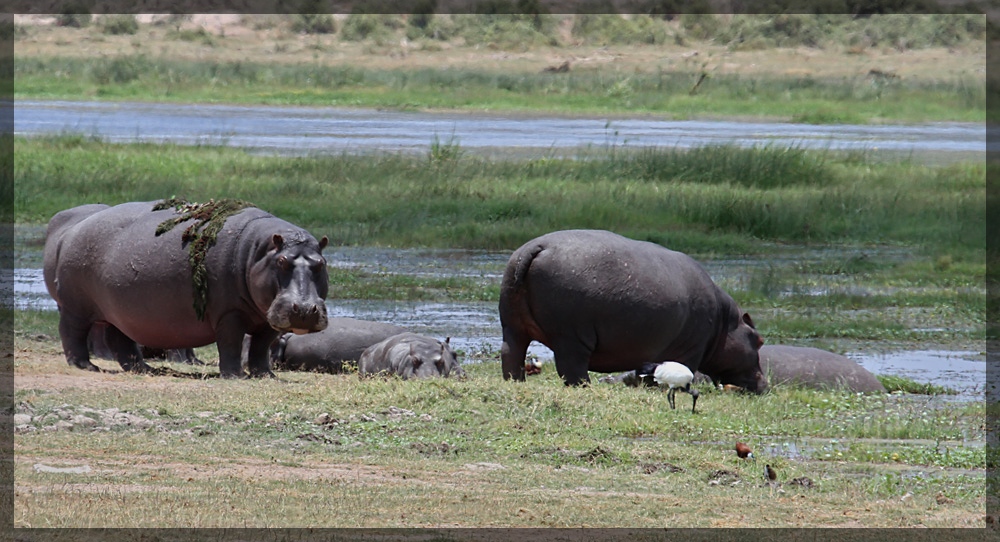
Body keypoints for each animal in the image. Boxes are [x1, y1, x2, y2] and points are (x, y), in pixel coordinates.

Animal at [41, 200, 330, 378]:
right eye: (281, 261)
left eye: (321, 263)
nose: (305, 309)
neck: (258, 253)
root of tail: (74, 227)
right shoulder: (229, 313)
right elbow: (231, 342)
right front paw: (235, 376)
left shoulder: (268, 317)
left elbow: (260, 347)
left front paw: (265, 375)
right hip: (75, 308)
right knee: (72, 333)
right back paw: (86, 366)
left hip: (117, 312)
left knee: (120, 340)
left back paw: (145, 369)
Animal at [498, 228, 764, 392]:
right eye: (759, 340)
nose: (764, 383)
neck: (725, 322)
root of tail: (536, 247)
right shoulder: (691, 349)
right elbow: (675, 371)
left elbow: (648, 372)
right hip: (571, 336)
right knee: (571, 368)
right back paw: (586, 387)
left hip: (513, 324)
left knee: (511, 353)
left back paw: (516, 382)